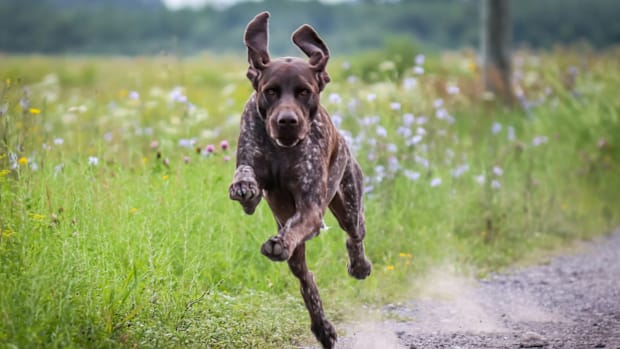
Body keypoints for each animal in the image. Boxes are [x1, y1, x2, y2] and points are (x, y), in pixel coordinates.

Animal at [230, 11, 370, 348]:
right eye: (270, 91)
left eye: (304, 91)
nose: (287, 121)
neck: (283, 150)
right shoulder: (252, 170)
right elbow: (246, 176)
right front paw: (244, 185)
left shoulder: (311, 209)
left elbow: (296, 227)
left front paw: (280, 241)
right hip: (298, 255)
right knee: (307, 280)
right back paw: (322, 326)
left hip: (348, 203)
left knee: (355, 233)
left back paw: (359, 266)